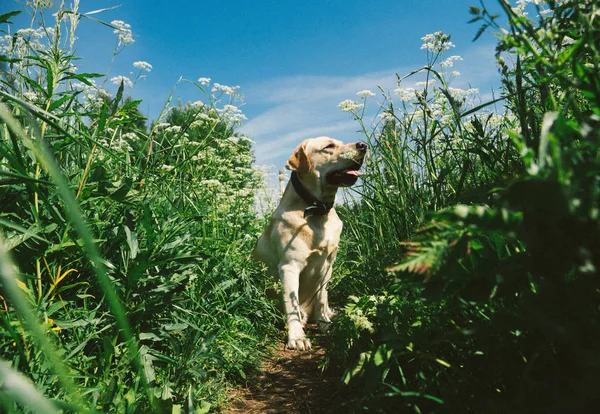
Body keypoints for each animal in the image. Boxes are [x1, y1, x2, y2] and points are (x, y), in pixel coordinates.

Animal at [252, 136, 366, 350]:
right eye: (329, 146)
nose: (363, 145)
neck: (318, 211)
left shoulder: (327, 265)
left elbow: (322, 298)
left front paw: (324, 324)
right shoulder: (289, 267)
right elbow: (292, 305)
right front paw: (297, 338)